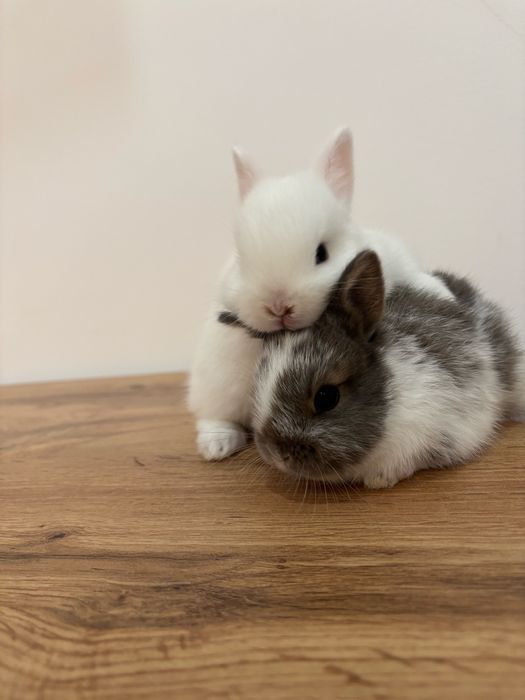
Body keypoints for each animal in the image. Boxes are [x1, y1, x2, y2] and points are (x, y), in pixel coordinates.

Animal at [188, 128, 454, 461]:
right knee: (212, 414)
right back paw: (217, 446)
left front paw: (444, 293)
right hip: (215, 385)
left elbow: (413, 273)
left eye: (322, 253)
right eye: (242, 259)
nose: (278, 306)